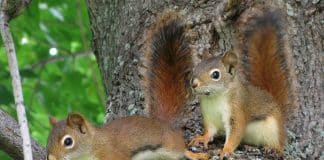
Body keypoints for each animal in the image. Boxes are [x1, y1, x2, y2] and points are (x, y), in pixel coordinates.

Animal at [45, 11, 208, 160]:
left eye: (68, 141)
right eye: (48, 141)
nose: (51, 158)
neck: (93, 145)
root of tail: (163, 123)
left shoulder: (112, 155)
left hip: (170, 145)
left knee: (181, 149)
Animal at [189, 9, 294, 159]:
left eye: (215, 75)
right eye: (195, 68)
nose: (194, 84)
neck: (214, 98)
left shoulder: (237, 109)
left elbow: (235, 132)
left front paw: (225, 150)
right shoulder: (210, 116)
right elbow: (210, 130)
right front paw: (202, 138)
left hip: (273, 128)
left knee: (279, 142)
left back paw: (274, 149)